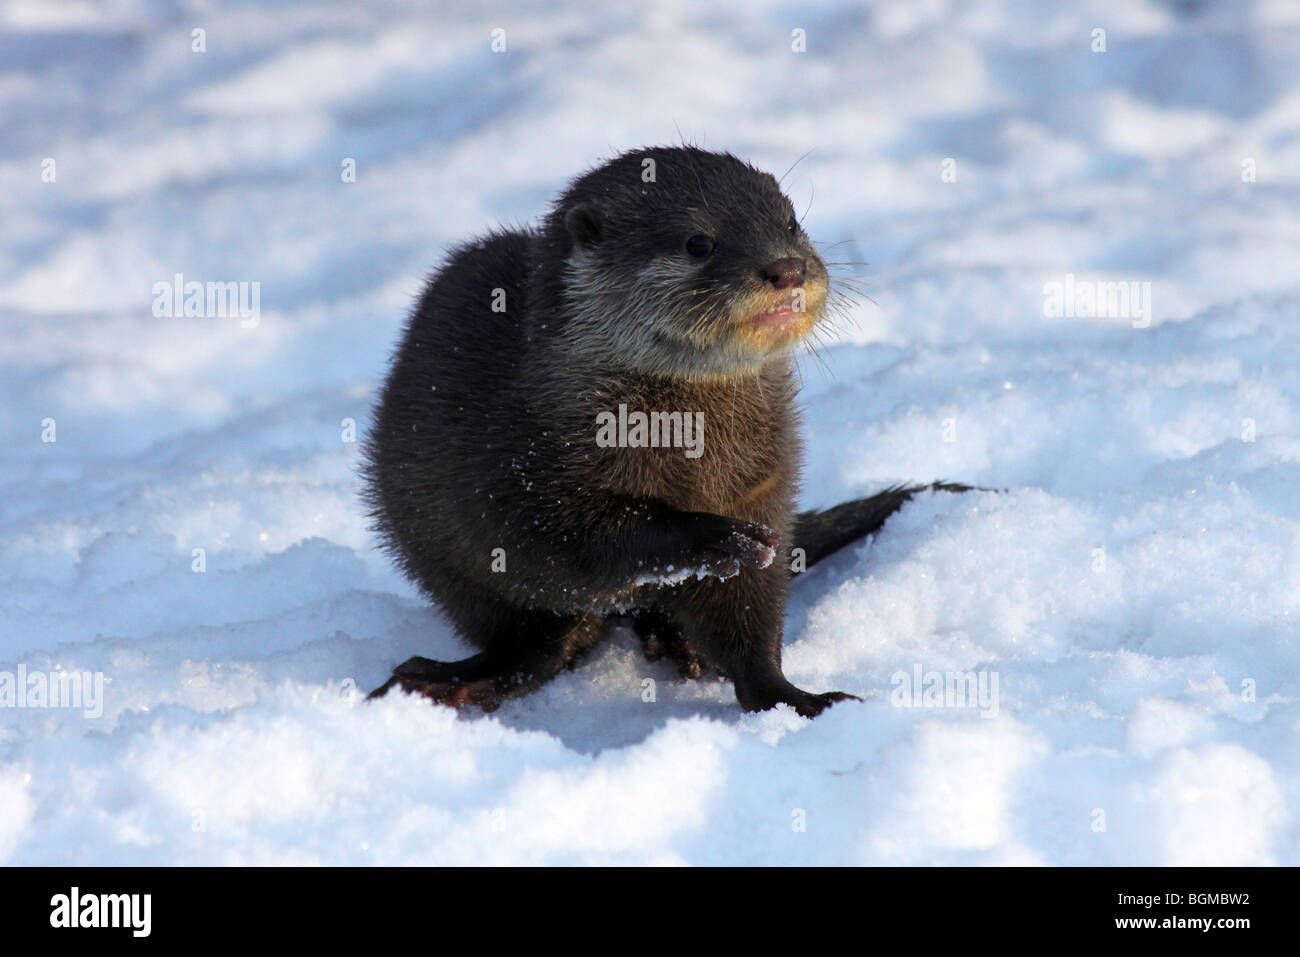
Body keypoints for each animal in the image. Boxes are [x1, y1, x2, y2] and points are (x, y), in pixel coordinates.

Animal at [363, 146, 969, 717]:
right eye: (698, 242)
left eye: (791, 222)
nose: (788, 268)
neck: (686, 445)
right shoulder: (518, 468)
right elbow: (563, 541)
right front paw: (711, 538)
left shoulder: (763, 485)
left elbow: (751, 618)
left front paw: (796, 699)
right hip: (438, 560)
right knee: (538, 641)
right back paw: (451, 678)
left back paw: (675, 641)